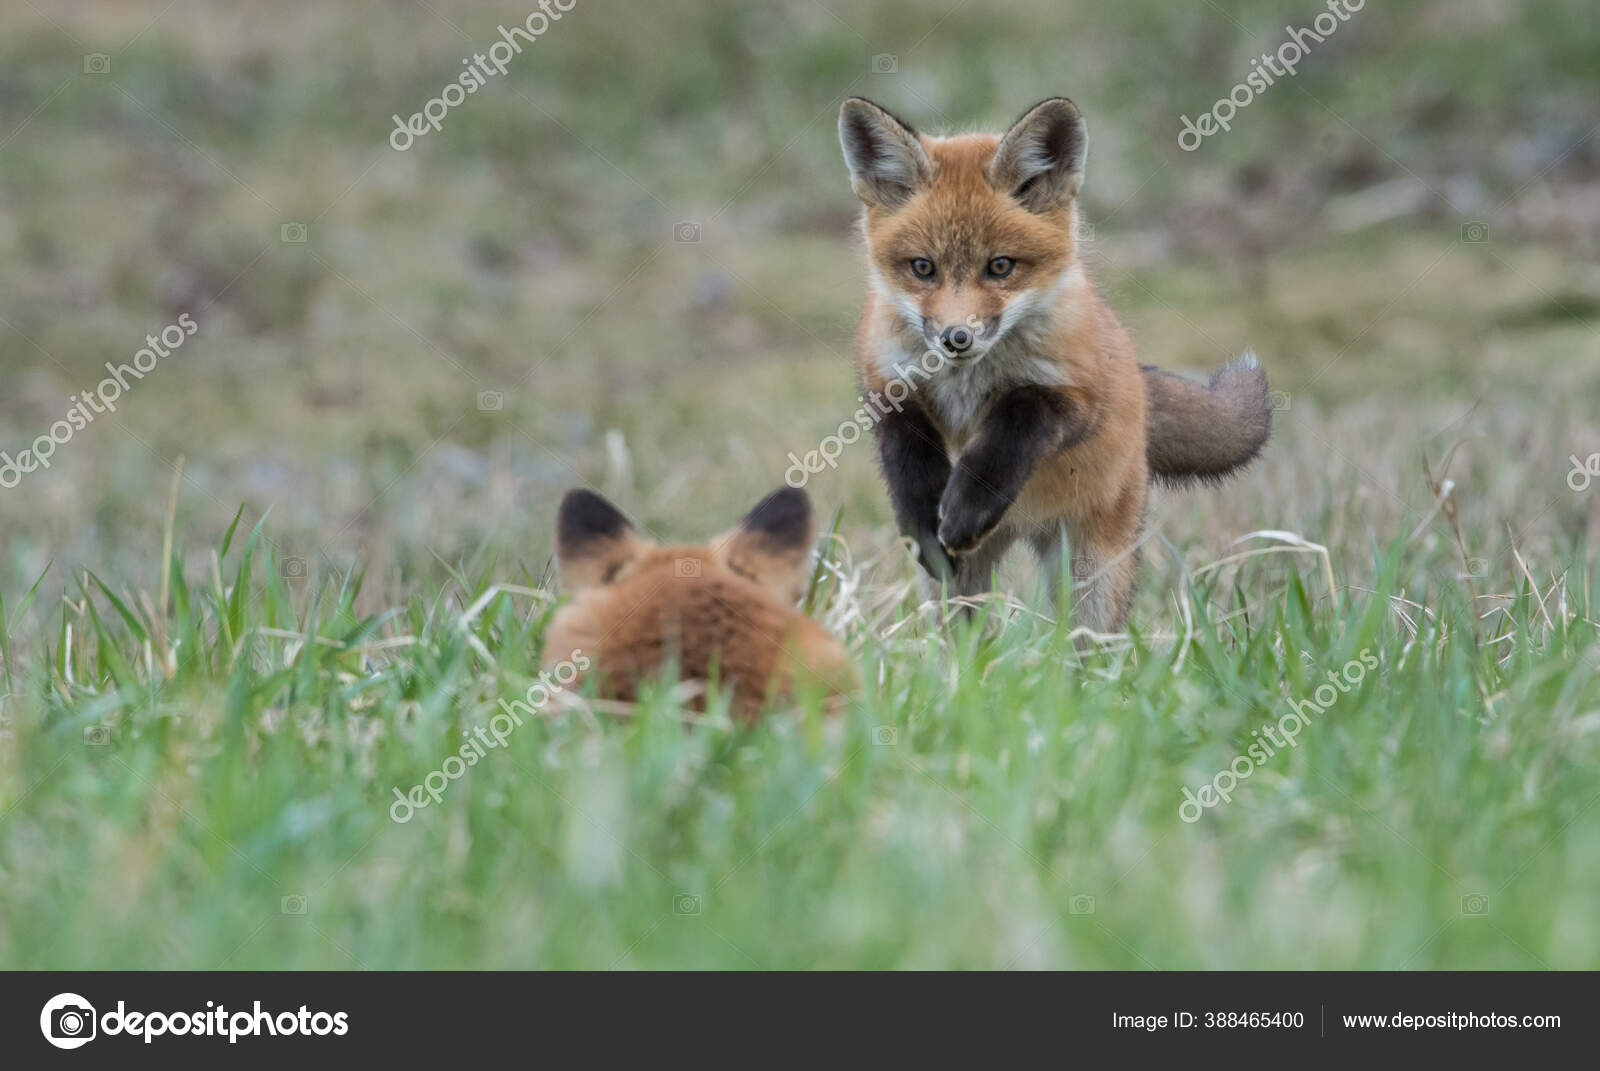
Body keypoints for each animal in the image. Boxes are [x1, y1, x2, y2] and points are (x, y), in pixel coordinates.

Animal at [837, 95, 1272, 631]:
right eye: (923, 268)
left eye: (1000, 266)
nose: (956, 338)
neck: (969, 378)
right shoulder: (885, 385)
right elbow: (907, 453)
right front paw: (922, 518)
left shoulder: (1079, 397)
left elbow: (1018, 418)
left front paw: (968, 502)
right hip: (959, 585)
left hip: (1090, 570)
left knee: (1090, 634)